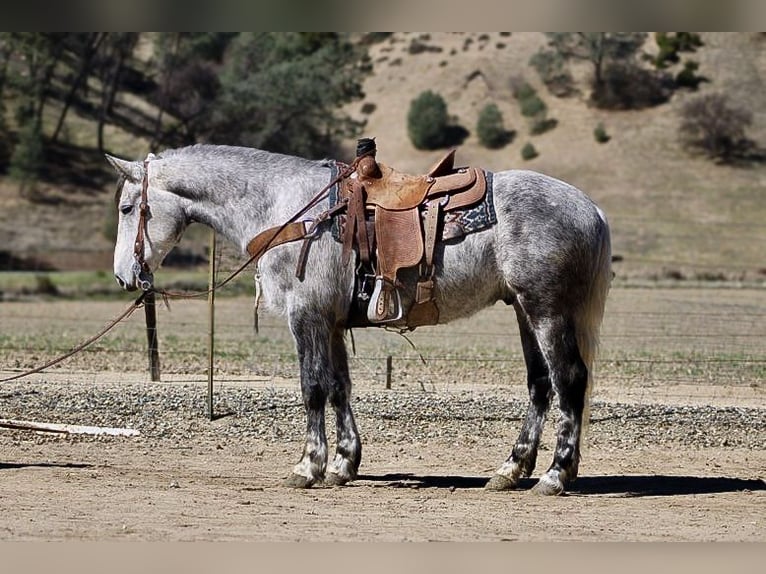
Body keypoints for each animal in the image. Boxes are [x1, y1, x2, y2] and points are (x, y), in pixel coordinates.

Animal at [107, 143, 611, 495]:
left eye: (127, 208)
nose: (123, 276)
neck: (287, 209)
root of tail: (592, 209)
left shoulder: (306, 315)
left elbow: (312, 387)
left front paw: (308, 466)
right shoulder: (331, 322)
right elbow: (338, 388)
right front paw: (343, 464)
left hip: (547, 311)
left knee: (568, 379)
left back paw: (555, 475)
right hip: (525, 311)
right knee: (540, 384)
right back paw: (510, 470)